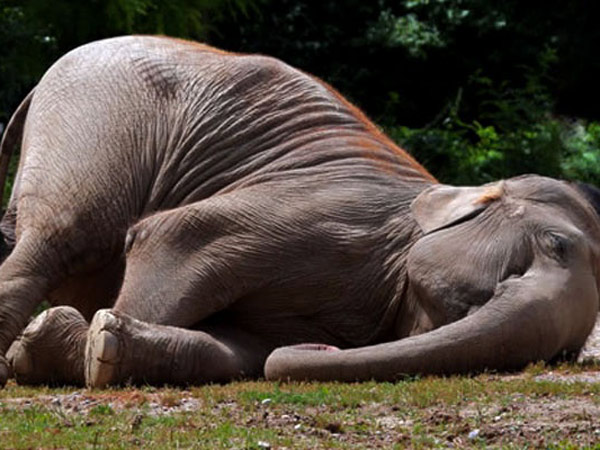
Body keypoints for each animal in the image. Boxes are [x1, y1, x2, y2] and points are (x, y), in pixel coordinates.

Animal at [0, 36, 600, 386]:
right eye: (552, 245)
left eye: (567, 353)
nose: (320, 344)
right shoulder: (320, 214)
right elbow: (173, 239)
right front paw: (75, 346)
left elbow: (244, 350)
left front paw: (80, 346)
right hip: (98, 115)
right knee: (59, 237)